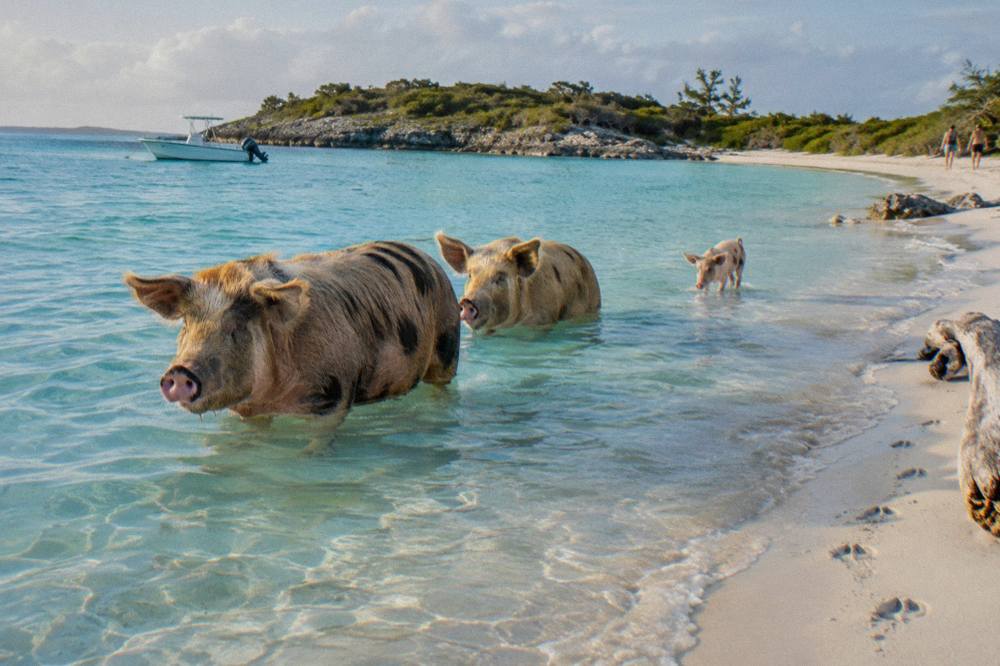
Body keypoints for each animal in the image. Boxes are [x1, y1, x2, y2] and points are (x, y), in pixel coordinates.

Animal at [124, 241, 460, 432]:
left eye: (236, 328)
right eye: (186, 325)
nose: (180, 372)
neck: (273, 396)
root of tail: (430, 260)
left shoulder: (335, 395)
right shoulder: (250, 411)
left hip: (448, 345)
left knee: (442, 385)